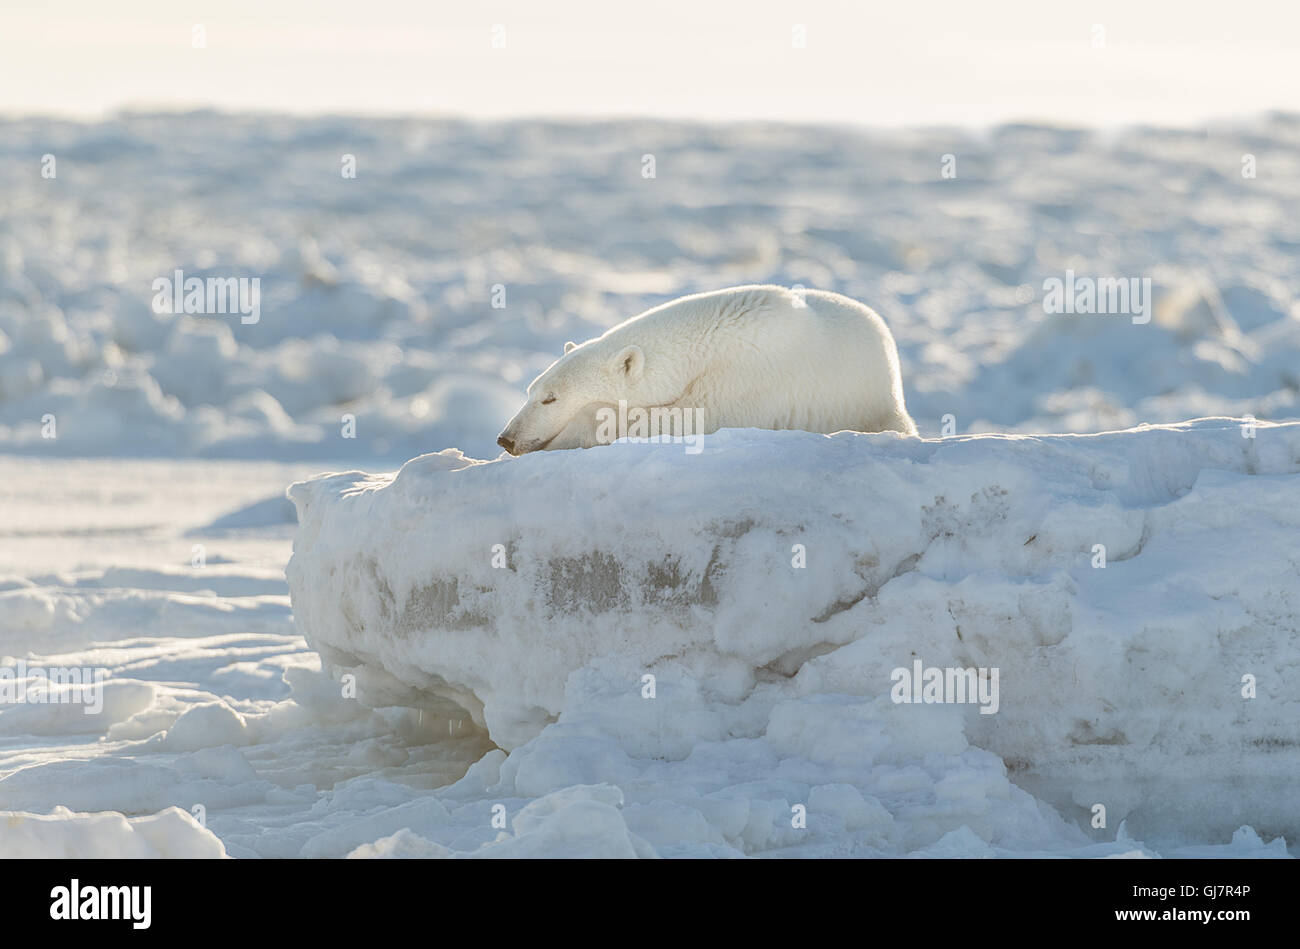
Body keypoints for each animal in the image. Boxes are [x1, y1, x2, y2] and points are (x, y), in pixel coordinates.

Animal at [493, 283, 915, 452]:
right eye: (530, 391)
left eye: (551, 399)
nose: (506, 439)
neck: (709, 338)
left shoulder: (749, 380)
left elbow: (693, 416)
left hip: (873, 405)